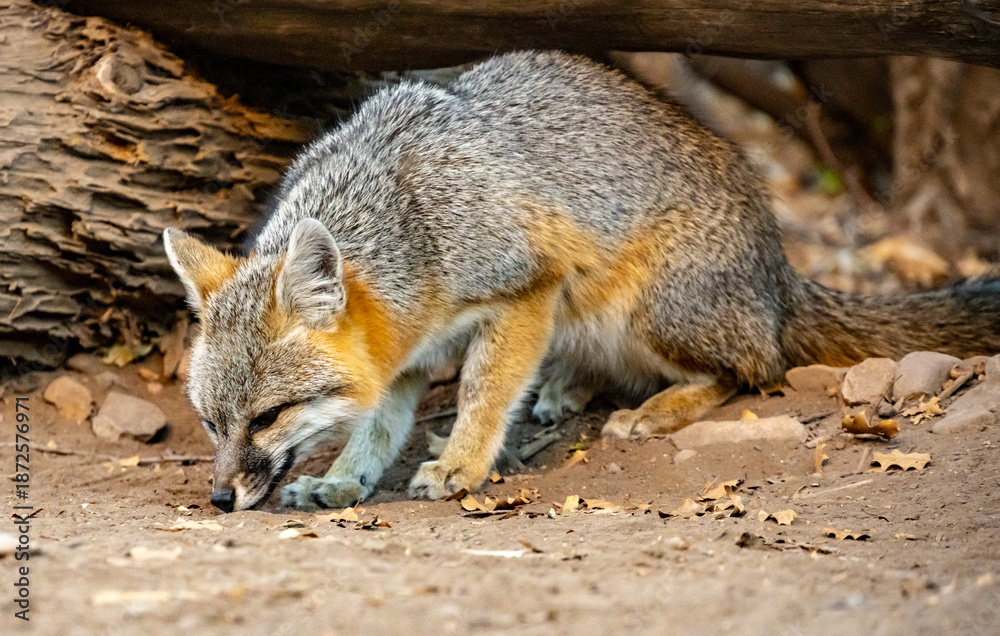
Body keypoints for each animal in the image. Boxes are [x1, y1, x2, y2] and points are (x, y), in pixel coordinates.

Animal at [163, 51, 1000, 512]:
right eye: (208, 422)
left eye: (268, 417)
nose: (220, 498)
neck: (411, 217)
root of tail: (779, 268)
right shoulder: (403, 352)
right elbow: (376, 425)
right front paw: (343, 480)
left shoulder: (527, 291)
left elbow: (484, 391)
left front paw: (461, 463)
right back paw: (573, 385)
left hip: (646, 312)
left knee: (754, 369)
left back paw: (654, 408)